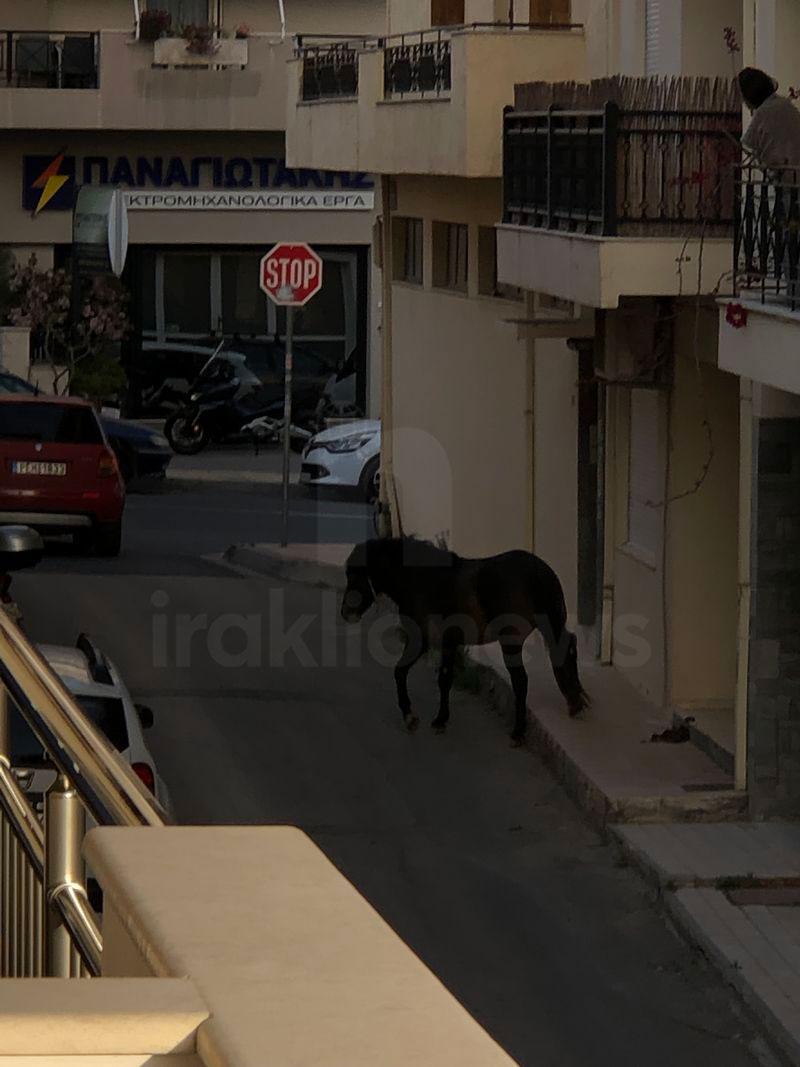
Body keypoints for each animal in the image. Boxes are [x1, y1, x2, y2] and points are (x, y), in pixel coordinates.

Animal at [339, 537, 588, 746]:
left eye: (354, 575)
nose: (345, 613)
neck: (423, 580)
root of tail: (540, 572)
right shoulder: (439, 642)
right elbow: (430, 676)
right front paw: (429, 718)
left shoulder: (428, 640)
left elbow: (418, 675)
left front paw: (423, 718)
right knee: (567, 648)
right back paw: (574, 702)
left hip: (511, 639)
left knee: (521, 680)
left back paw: (518, 732)